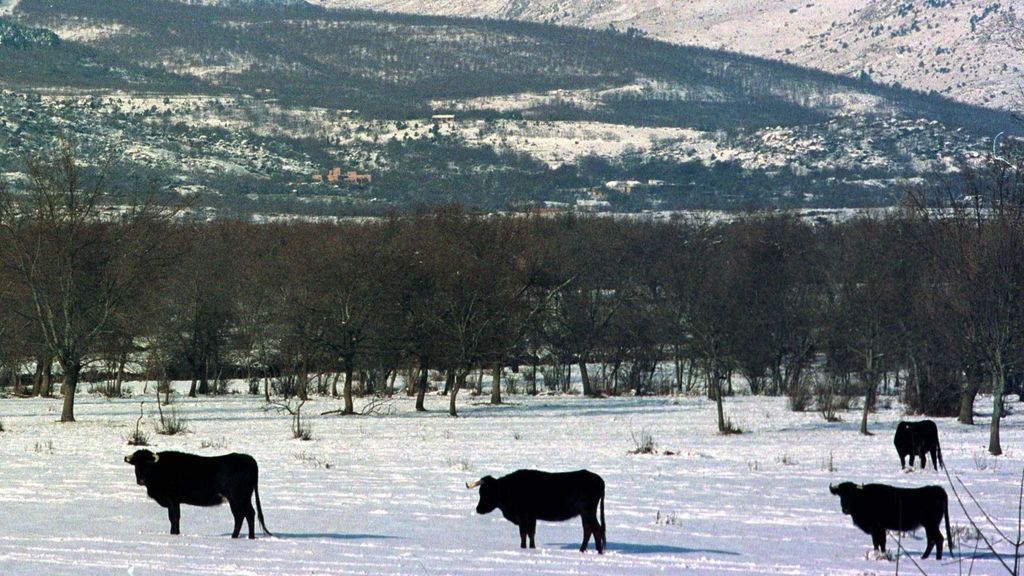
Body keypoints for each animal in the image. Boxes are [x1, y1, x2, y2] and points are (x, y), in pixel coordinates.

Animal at [124, 448, 272, 537]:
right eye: (136, 464)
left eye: (148, 464)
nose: (141, 480)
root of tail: (249, 459)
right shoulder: (175, 501)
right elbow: (175, 518)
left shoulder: (172, 499)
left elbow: (174, 518)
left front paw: (174, 534)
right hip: (244, 498)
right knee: (248, 514)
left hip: (237, 498)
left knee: (242, 515)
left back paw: (237, 536)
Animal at [468, 467, 602, 553]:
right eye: (480, 492)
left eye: (486, 492)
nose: (478, 509)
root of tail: (598, 479)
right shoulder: (532, 517)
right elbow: (531, 533)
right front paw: (532, 548)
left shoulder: (523, 516)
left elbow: (523, 533)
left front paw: (522, 548)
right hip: (585, 514)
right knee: (588, 529)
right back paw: (583, 550)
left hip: (588, 512)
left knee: (596, 529)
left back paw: (599, 551)